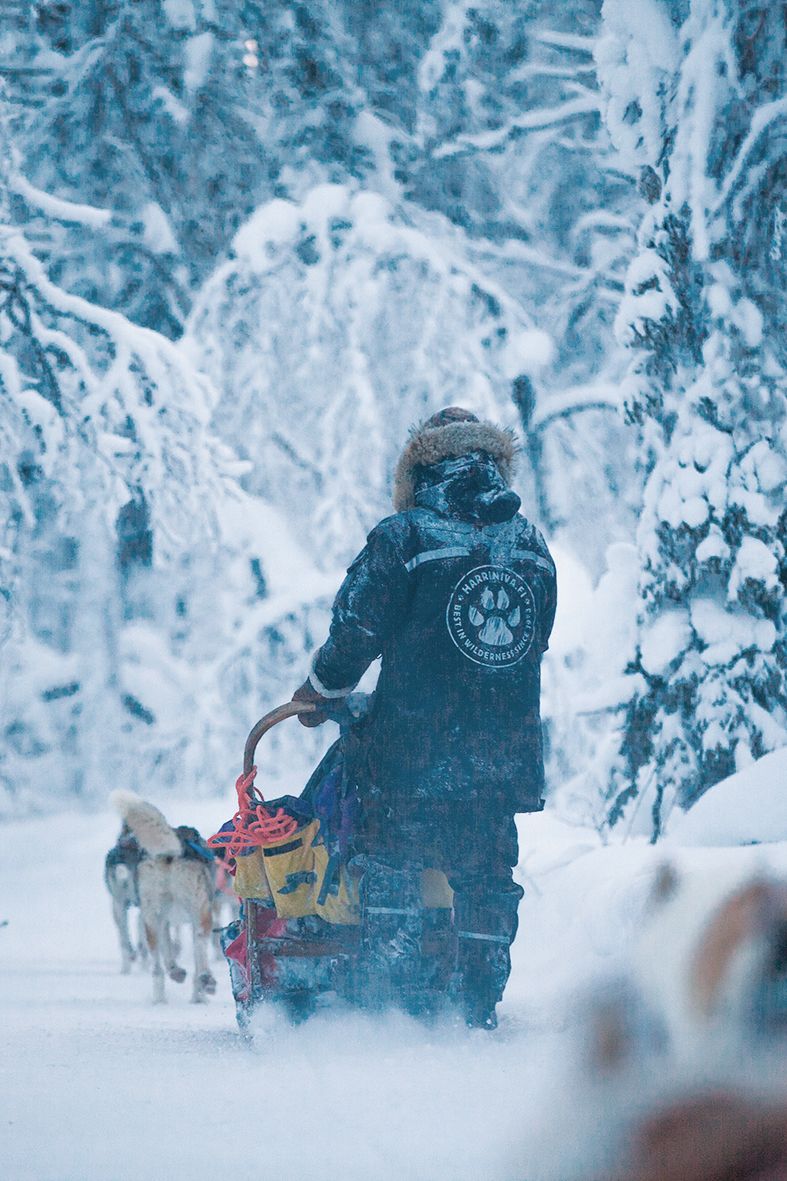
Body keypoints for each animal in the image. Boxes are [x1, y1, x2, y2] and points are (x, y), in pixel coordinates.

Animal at [110, 792, 217, 1003]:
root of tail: (169, 854)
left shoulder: (164, 921)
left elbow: (168, 950)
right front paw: (199, 994)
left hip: (151, 917)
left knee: (157, 967)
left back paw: (161, 996)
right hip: (200, 911)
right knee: (201, 941)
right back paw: (206, 979)